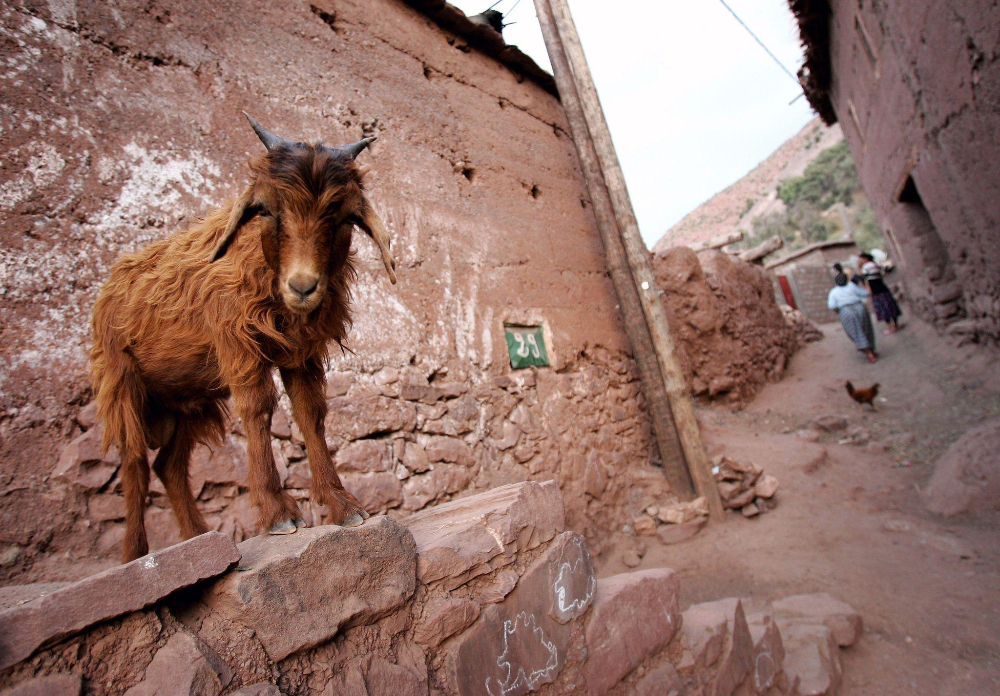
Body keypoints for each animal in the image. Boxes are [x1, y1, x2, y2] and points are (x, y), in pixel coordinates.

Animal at [89, 113, 397, 563]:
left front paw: (341, 504)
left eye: (343, 217)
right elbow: (257, 408)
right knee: (134, 461)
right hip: (120, 379)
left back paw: (197, 538)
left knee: (169, 465)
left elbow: (311, 413)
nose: (302, 286)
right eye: (266, 209)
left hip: (187, 399)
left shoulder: (300, 353)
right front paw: (277, 513)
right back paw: (135, 555)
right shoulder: (237, 340)